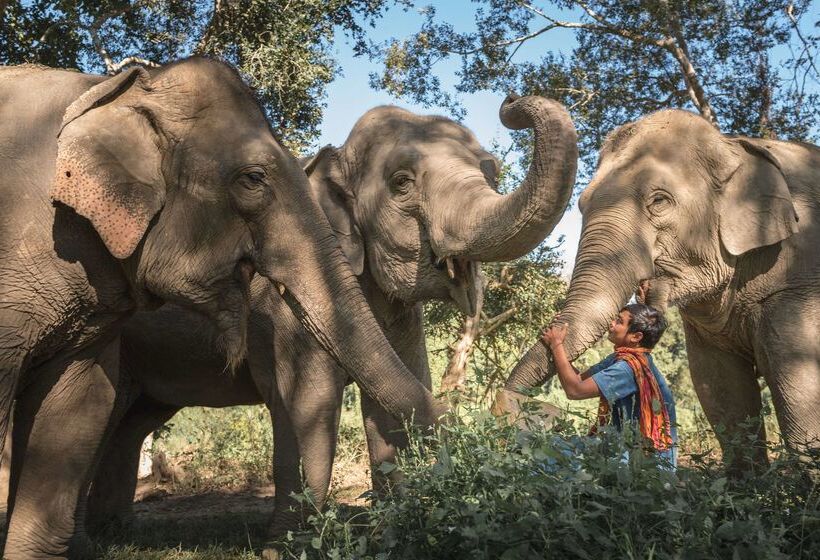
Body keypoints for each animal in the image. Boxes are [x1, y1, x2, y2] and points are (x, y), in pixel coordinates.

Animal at [0, 59, 444, 559]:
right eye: (253, 179)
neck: (116, 90)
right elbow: (304, 398)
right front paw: (283, 548)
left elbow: (81, 402)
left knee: (126, 420)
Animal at [79, 95, 579, 553]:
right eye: (401, 183)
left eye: (492, 173)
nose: (510, 104)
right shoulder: (283, 308)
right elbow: (307, 400)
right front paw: (285, 547)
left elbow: (398, 392)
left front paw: (397, 526)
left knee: (133, 422)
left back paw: (115, 532)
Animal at [494, 108, 819, 471]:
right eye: (581, 203)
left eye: (659, 201)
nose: (512, 401)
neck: (733, 146)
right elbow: (720, 389)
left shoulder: (797, 281)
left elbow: (800, 392)